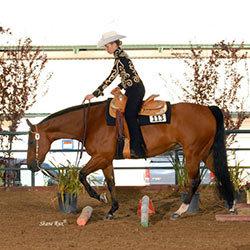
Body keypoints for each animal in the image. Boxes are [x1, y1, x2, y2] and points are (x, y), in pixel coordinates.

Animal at [26, 100, 235, 221]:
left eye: (30, 141)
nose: (30, 165)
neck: (92, 121)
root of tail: (208, 109)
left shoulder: (100, 157)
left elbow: (82, 175)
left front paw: (101, 198)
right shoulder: (106, 160)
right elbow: (111, 183)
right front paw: (112, 210)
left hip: (193, 153)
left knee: (195, 180)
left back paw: (180, 211)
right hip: (206, 153)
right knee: (223, 174)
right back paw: (231, 207)